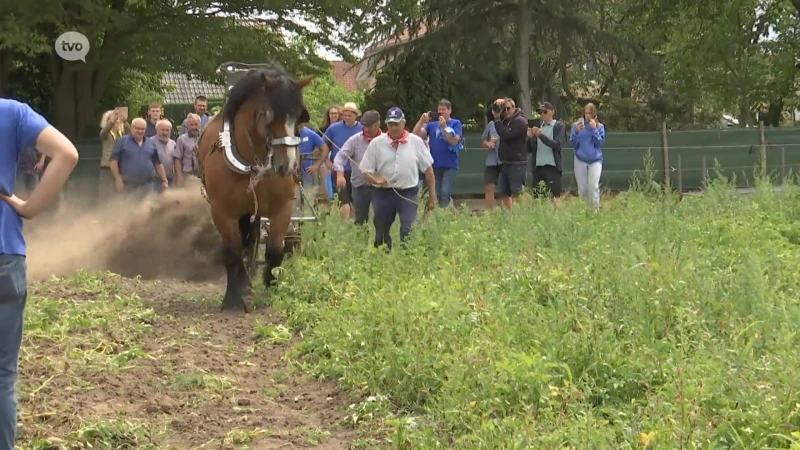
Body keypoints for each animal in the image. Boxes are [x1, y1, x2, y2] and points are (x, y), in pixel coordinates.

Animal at [195, 61, 314, 312]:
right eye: (268, 115)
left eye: (300, 116)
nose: (286, 165)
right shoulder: (222, 211)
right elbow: (232, 250)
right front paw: (233, 299)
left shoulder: (282, 208)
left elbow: (275, 250)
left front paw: (271, 289)